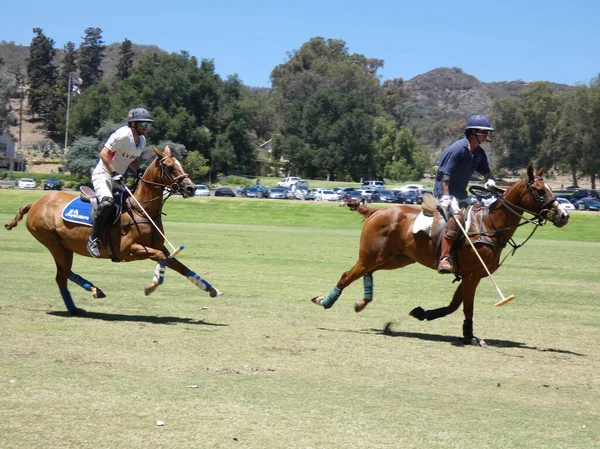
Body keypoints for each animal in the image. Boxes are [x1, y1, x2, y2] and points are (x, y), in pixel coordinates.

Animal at [4, 145, 223, 314]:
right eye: (170, 167)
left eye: (181, 164)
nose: (191, 188)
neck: (141, 209)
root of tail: (35, 203)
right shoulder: (127, 250)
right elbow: (161, 257)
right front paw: (151, 286)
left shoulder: (159, 247)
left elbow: (180, 266)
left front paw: (211, 289)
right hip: (52, 242)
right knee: (62, 274)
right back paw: (87, 294)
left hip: (63, 247)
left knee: (62, 275)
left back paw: (85, 298)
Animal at [312, 166, 568, 344]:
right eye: (539, 191)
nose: (564, 216)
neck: (490, 224)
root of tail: (375, 211)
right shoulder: (472, 275)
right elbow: (466, 307)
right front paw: (470, 337)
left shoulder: (471, 274)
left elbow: (455, 305)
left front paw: (422, 313)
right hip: (370, 256)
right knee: (346, 276)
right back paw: (324, 301)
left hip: (395, 259)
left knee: (367, 273)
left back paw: (361, 302)